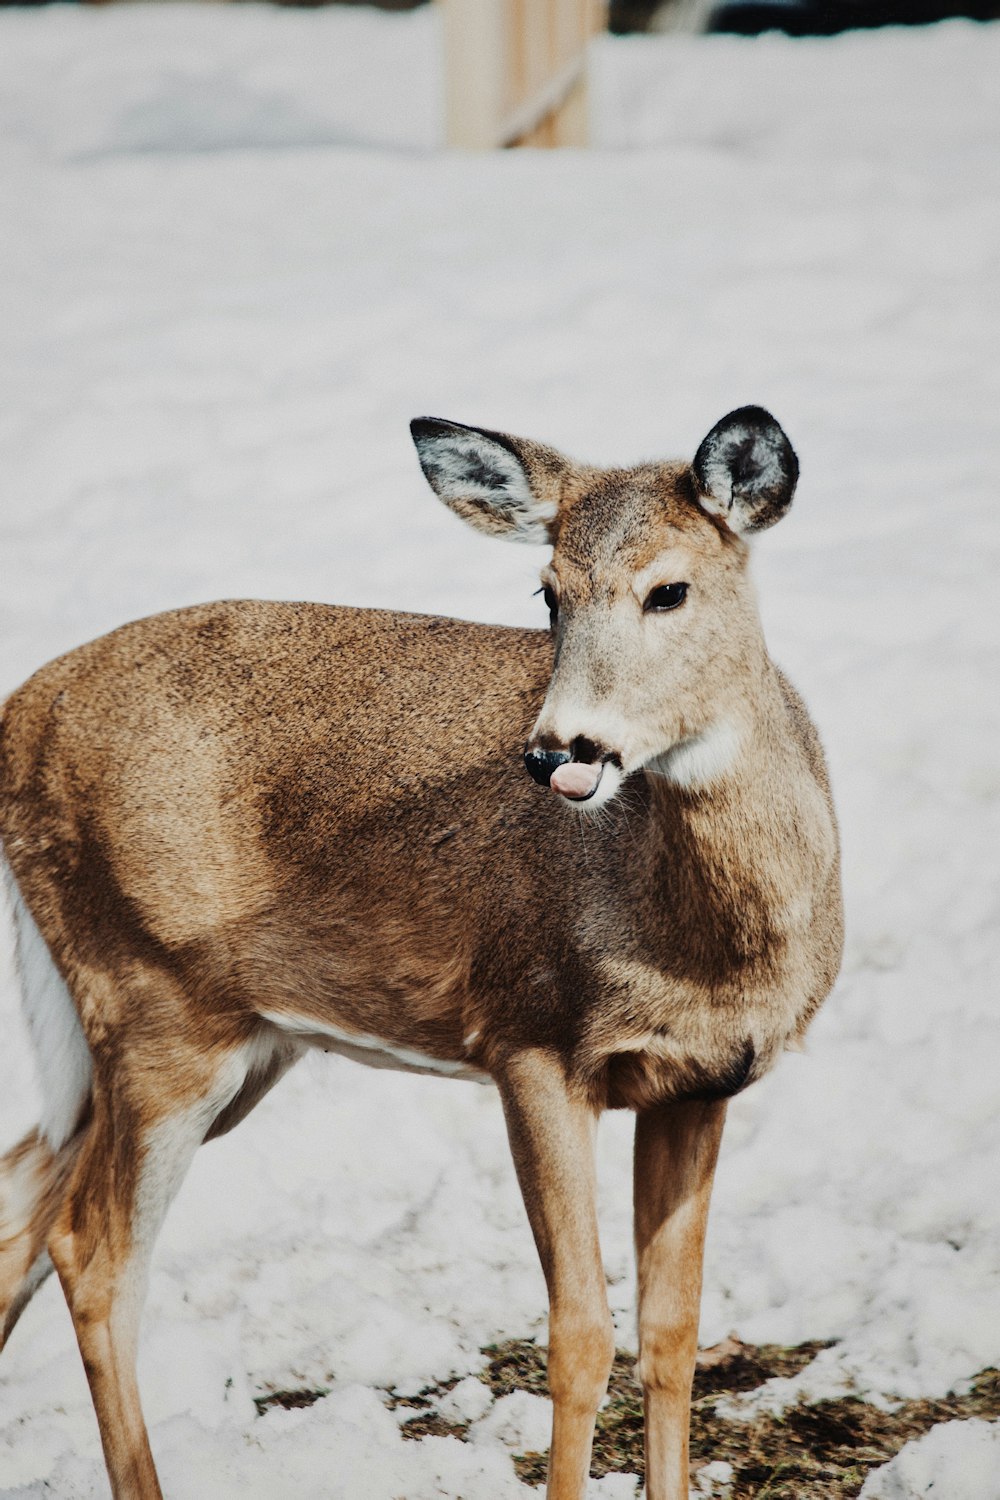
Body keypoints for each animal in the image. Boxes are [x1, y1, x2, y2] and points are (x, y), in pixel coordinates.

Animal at [0, 408, 845, 1500]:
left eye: (670, 589)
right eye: (546, 591)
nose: (557, 749)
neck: (702, 949)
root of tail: (18, 718)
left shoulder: (701, 1084)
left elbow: (671, 1332)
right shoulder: (529, 1039)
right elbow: (579, 1337)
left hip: (205, 1040)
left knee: (21, 1197)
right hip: (154, 1003)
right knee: (94, 1255)